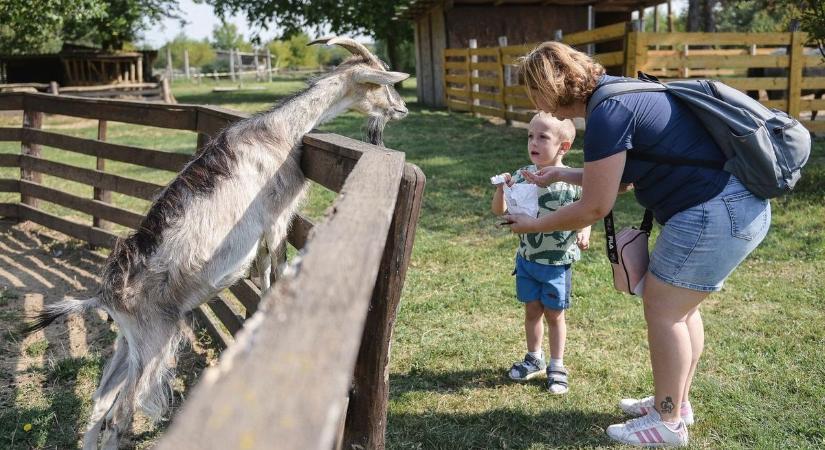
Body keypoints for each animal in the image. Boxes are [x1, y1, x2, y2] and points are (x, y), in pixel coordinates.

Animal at [24, 36, 410, 450]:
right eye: (381, 82)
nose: (402, 108)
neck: (279, 132)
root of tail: (105, 297)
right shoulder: (276, 218)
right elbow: (276, 266)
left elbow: (263, 270)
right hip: (153, 341)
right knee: (118, 415)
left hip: (128, 342)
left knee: (99, 404)